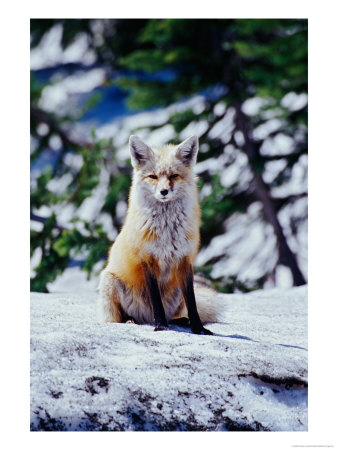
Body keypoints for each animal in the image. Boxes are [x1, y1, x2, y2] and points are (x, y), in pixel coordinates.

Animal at [97, 134, 220, 334]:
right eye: (153, 176)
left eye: (174, 176)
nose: (164, 191)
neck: (167, 230)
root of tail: (145, 318)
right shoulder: (147, 259)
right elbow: (156, 301)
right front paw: (161, 326)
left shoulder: (185, 260)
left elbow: (192, 302)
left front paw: (198, 328)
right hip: (109, 281)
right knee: (120, 318)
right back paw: (132, 320)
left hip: (176, 291)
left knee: (176, 313)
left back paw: (181, 321)